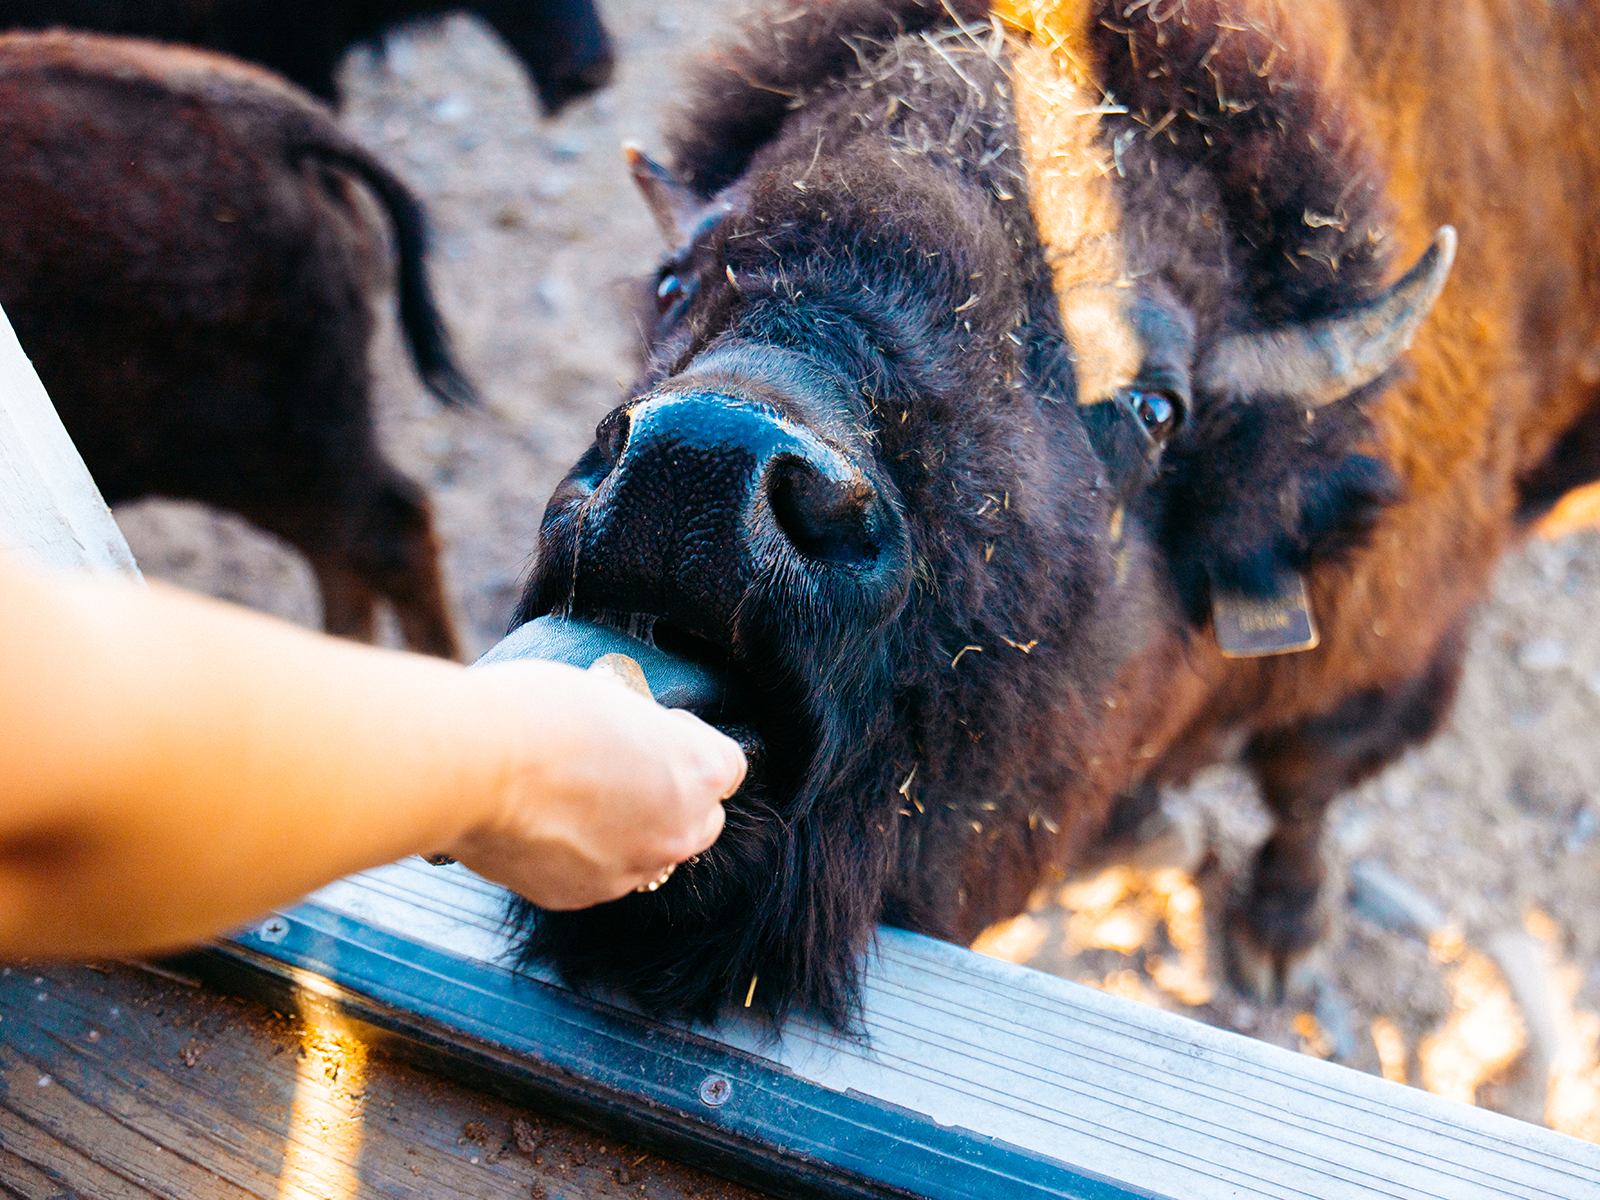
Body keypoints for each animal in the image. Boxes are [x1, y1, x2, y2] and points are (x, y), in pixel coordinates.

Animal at [498, 0, 1600, 1026]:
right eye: (672, 282)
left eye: (1153, 405)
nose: (696, 467)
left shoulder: (1390, 662)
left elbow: (1304, 786)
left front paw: (1276, 939)